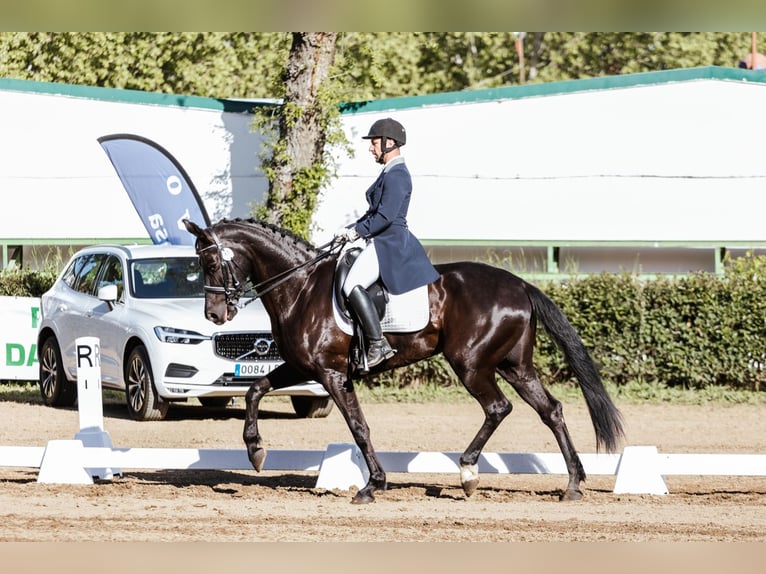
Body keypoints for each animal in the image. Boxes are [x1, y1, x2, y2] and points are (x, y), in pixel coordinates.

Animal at [184, 218, 624, 506]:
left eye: (211, 264)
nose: (215, 316)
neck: (301, 287)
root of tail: (520, 284)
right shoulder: (301, 367)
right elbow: (255, 390)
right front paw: (256, 451)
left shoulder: (331, 373)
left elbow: (359, 427)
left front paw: (372, 485)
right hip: (514, 365)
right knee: (551, 410)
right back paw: (572, 484)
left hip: (471, 364)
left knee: (499, 407)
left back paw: (468, 472)